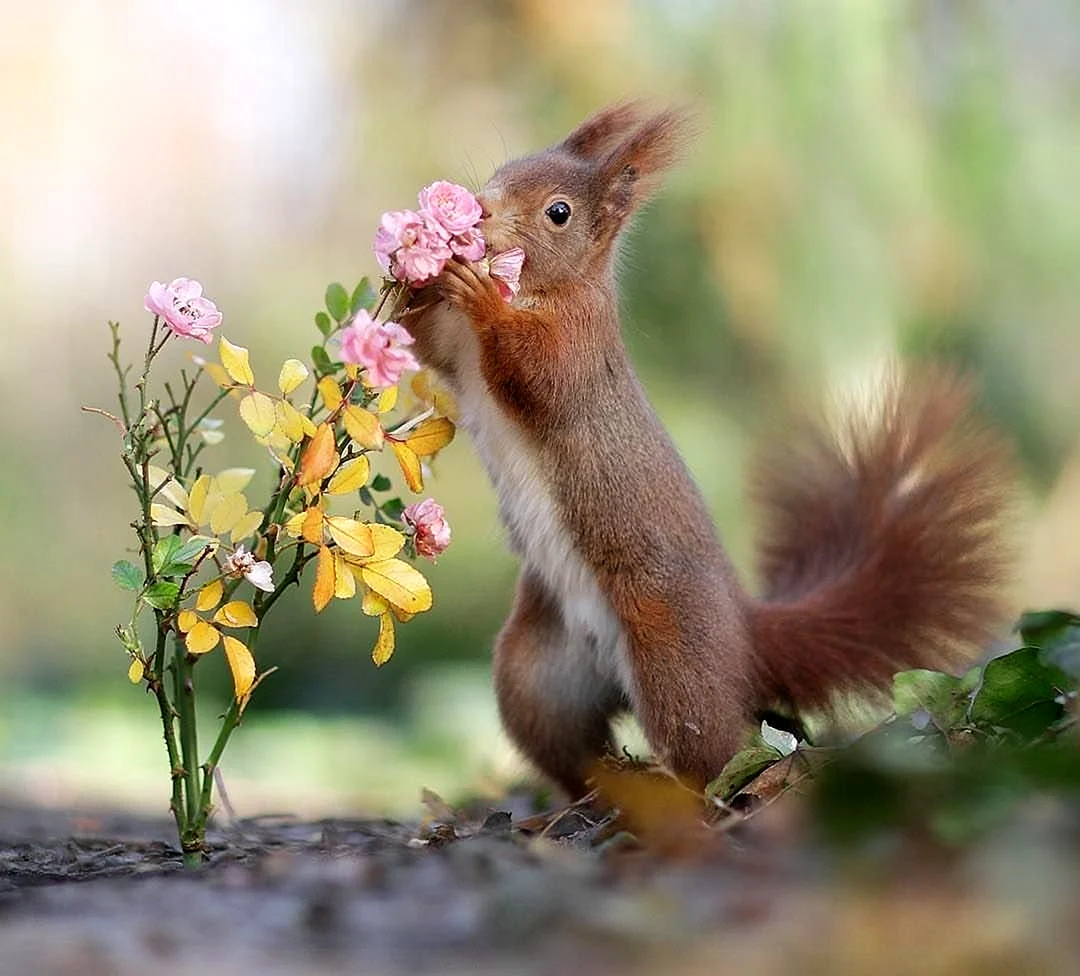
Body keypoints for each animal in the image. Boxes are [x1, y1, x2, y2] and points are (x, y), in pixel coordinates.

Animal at [401, 103, 1015, 798]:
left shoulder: (576, 346)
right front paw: (416, 259)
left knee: (717, 747)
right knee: (568, 744)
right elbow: (428, 342)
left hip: (676, 662)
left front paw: (475, 292)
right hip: (540, 672)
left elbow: (535, 373)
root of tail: (742, 635)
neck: (541, 289)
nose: (478, 208)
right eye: (507, 168)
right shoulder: (455, 353)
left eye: (558, 212)